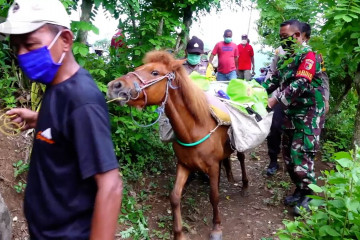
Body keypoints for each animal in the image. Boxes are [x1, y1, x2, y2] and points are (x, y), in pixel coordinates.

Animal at [107, 50, 248, 238]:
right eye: (138, 68)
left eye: (155, 72)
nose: (114, 86)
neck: (195, 128)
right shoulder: (184, 164)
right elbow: (174, 196)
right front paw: (179, 233)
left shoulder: (212, 165)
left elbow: (214, 196)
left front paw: (217, 228)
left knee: (241, 158)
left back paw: (245, 185)